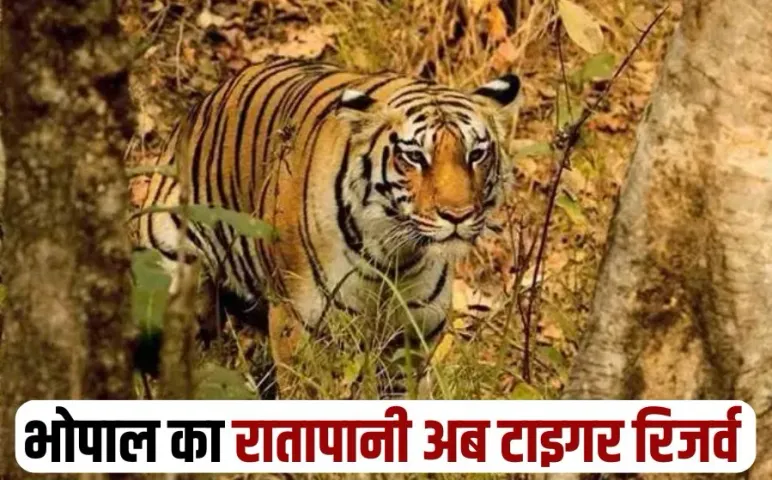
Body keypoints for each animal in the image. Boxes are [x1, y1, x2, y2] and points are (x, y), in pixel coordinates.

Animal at [134, 56, 521, 398]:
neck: (395, 256)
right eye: (414, 156)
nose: (458, 215)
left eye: (476, 154)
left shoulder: (411, 339)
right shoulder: (296, 325)